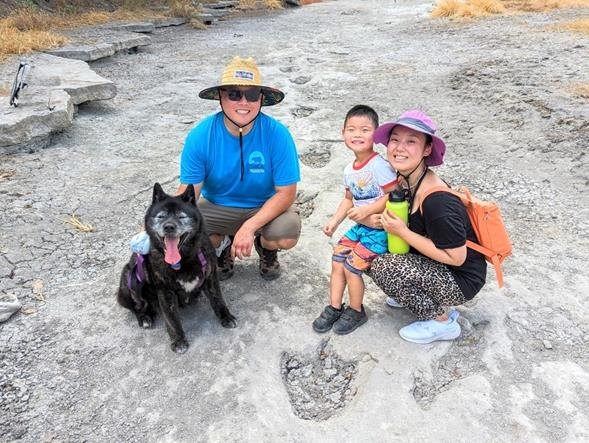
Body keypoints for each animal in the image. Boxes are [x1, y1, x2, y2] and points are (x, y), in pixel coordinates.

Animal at [117, 183, 237, 354]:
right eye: (161, 216)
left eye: (181, 216)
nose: (169, 227)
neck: (183, 259)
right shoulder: (165, 292)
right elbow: (172, 320)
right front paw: (178, 341)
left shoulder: (210, 278)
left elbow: (218, 299)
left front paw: (226, 317)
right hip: (130, 278)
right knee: (136, 305)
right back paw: (145, 317)